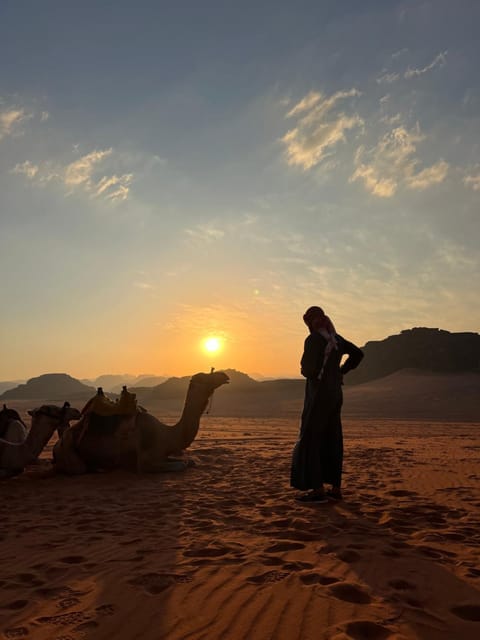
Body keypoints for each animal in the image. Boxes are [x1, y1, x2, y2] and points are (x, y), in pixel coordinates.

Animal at [53, 370, 230, 476]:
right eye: (205, 376)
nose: (224, 375)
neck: (167, 435)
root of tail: (56, 447)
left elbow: (190, 461)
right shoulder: (146, 461)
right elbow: (183, 464)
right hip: (68, 452)